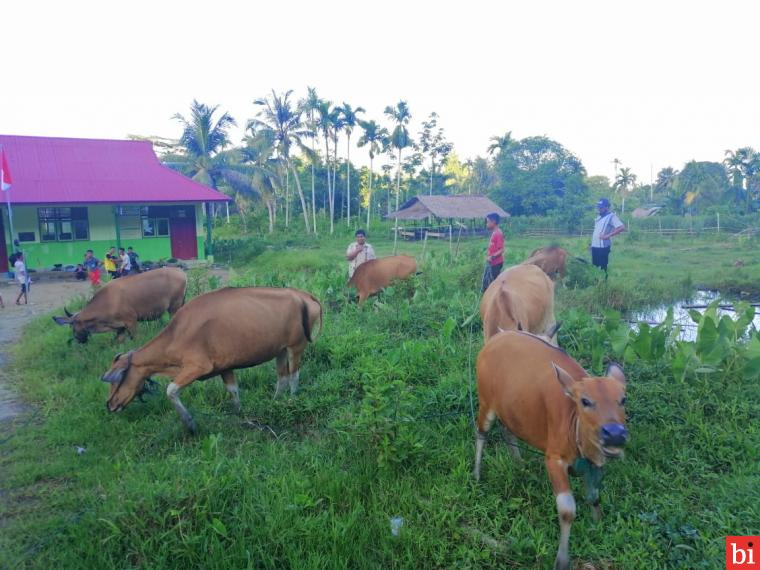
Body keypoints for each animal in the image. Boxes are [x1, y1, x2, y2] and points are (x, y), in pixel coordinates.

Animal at [52, 266, 187, 342]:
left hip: (174, 306)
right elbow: (116, 342)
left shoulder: (131, 321)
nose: (78, 340)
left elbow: (135, 339)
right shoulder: (120, 328)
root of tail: (180, 271)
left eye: (73, 327)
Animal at [98, 286, 320, 432]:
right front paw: (238, 413)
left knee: (294, 376)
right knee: (282, 378)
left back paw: (291, 401)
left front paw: (190, 423)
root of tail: (303, 296)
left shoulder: (197, 367)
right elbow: (233, 391)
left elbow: (170, 390)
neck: (178, 333)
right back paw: (275, 402)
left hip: (296, 346)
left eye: (117, 379)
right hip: (280, 351)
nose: (109, 405)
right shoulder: (225, 367)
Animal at [476, 328, 628, 568]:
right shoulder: (554, 459)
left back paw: (518, 463)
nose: (614, 434)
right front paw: (562, 560)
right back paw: (476, 475)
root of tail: (497, 336)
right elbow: (567, 510)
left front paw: (598, 523)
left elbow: (594, 496)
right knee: (481, 432)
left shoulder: (595, 464)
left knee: (508, 430)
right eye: (585, 401)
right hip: (485, 403)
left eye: (623, 399)